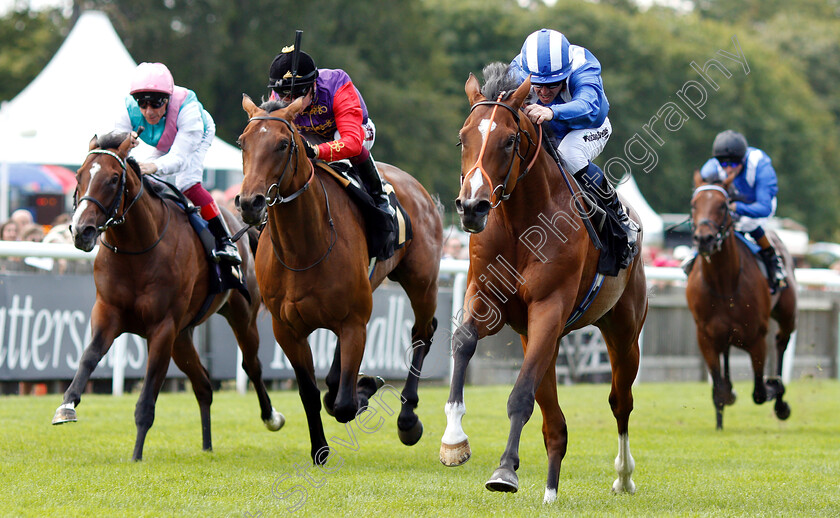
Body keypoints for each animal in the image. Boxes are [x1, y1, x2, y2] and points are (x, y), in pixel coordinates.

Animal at [52, 132, 284, 462]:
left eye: (113, 179)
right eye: (78, 176)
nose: (81, 230)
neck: (137, 250)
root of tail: (238, 225)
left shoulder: (162, 328)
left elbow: (147, 397)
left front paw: (136, 455)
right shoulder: (108, 314)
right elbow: (89, 357)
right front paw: (67, 406)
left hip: (240, 314)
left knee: (251, 365)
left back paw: (271, 417)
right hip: (183, 337)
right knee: (204, 385)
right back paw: (207, 445)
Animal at [236, 95, 442, 466]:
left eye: (283, 144)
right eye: (243, 142)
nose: (249, 203)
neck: (304, 249)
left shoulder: (354, 322)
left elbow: (344, 404)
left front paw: (365, 389)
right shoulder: (286, 329)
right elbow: (311, 393)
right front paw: (319, 448)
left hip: (422, 281)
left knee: (422, 333)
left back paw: (408, 419)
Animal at [440, 67, 648, 506]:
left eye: (509, 140)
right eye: (462, 138)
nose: (472, 207)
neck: (522, 223)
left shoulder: (549, 308)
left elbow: (520, 395)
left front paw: (504, 470)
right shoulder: (487, 298)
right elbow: (464, 341)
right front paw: (453, 439)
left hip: (622, 330)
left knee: (620, 402)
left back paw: (623, 477)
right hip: (542, 339)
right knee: (555, 424)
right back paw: (551, 491)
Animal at [684, 173, 796, 432]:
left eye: (723, 206)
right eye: (694, 204)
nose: (704, 239)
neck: (723, 283)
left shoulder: (756, 338)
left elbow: (759, 392)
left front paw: (774, 387)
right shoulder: (705, 337)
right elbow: (718, 389)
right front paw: (720, 420)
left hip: (787, 314)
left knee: (781, 342)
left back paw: (780, 399)